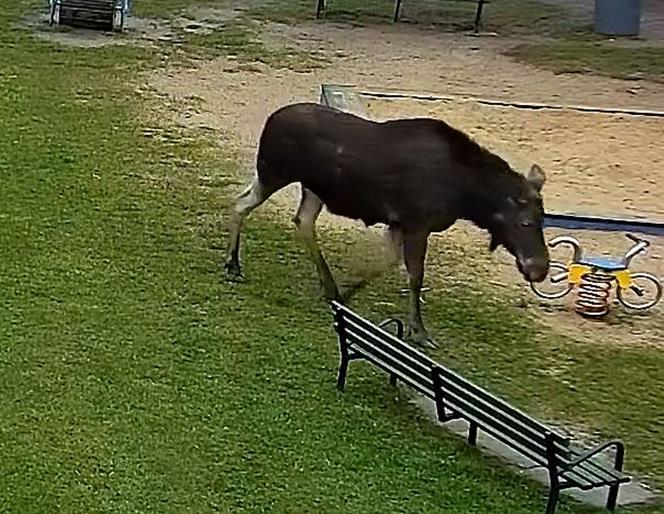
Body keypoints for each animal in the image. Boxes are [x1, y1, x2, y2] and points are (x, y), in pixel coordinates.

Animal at [224, 102, 548, 346]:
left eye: (543, 218)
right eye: (525, 222)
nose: (540, 269)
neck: (466, 197)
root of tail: (271, 119)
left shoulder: (398, 223)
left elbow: (390, 261)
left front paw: (350, 290)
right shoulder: (417, 224)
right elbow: (415, 276)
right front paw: (418, 331)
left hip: (310, 188)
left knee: (299, 220)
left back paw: (328, 286)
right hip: (273, 172)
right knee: (242, 203)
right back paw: (233, 264)